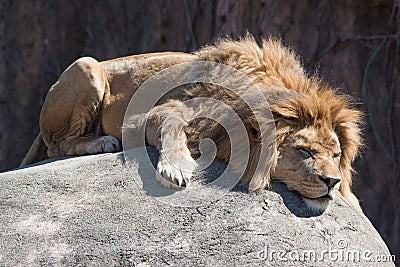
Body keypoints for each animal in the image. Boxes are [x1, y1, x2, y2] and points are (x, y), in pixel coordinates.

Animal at [20, 35, 362, 213]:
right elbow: (171, 127)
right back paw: (99, 142)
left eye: (336, 155)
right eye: (304, 152)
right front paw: (176, 168)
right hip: (87, 65)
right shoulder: (147, 116)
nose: (332, 182)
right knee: (56, 146)